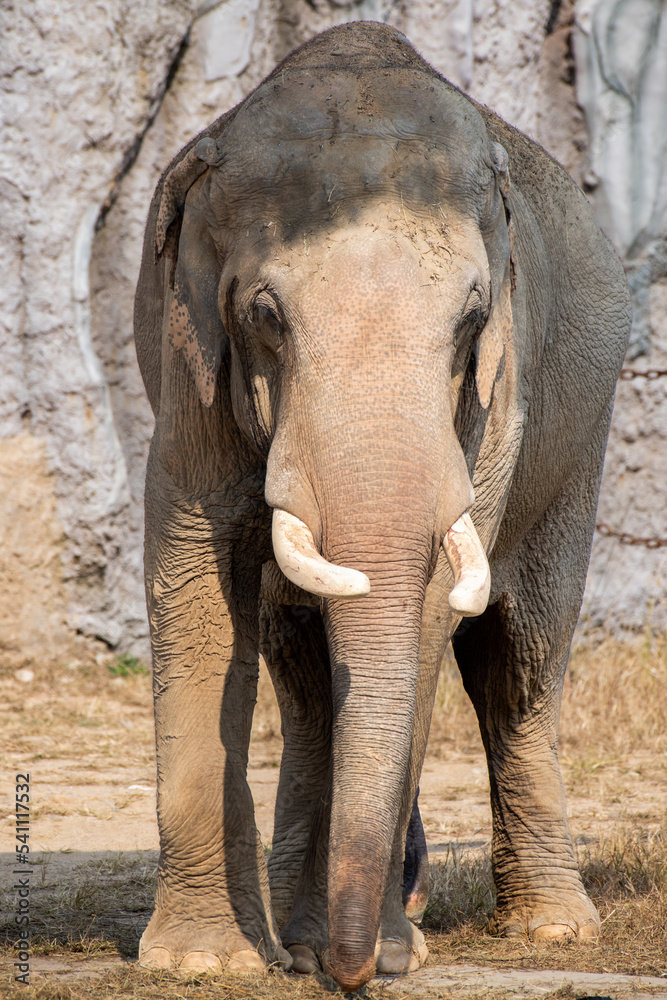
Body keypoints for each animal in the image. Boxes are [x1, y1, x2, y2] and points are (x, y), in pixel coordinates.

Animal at [133, 21, 630, 993]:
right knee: (301, 671)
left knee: (517, 663)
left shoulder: (493, 402)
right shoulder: (186, 352)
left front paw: (391, 955)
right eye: (266, 315)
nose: (352, 971)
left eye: (470, 319)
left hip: (579, 445)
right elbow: (196, 566)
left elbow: (434, 599)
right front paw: (204, 961)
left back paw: (550, 929)